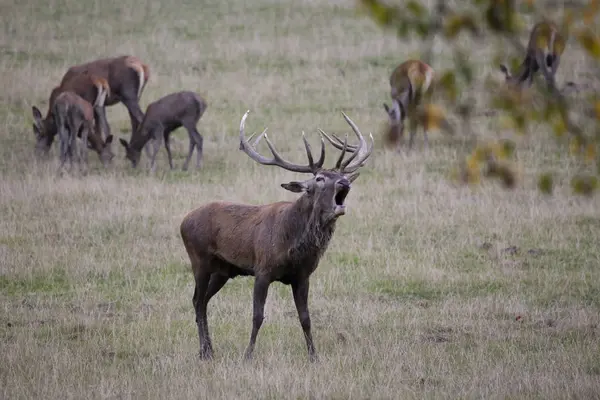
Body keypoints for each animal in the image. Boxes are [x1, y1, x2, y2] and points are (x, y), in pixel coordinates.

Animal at [180, 109, 372, 362]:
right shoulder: (263, 270)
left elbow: (306, 318)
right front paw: (248, 355)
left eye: (340, 175)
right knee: (197, 300)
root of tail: (183, 221)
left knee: (202, 302)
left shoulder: (302, 276)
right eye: (319, 179)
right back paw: (205, 351)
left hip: (223, 271)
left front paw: (314, 356)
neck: (292, 247)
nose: (345, 182)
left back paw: (208, 349)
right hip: (199, 260)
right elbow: (257, 316)